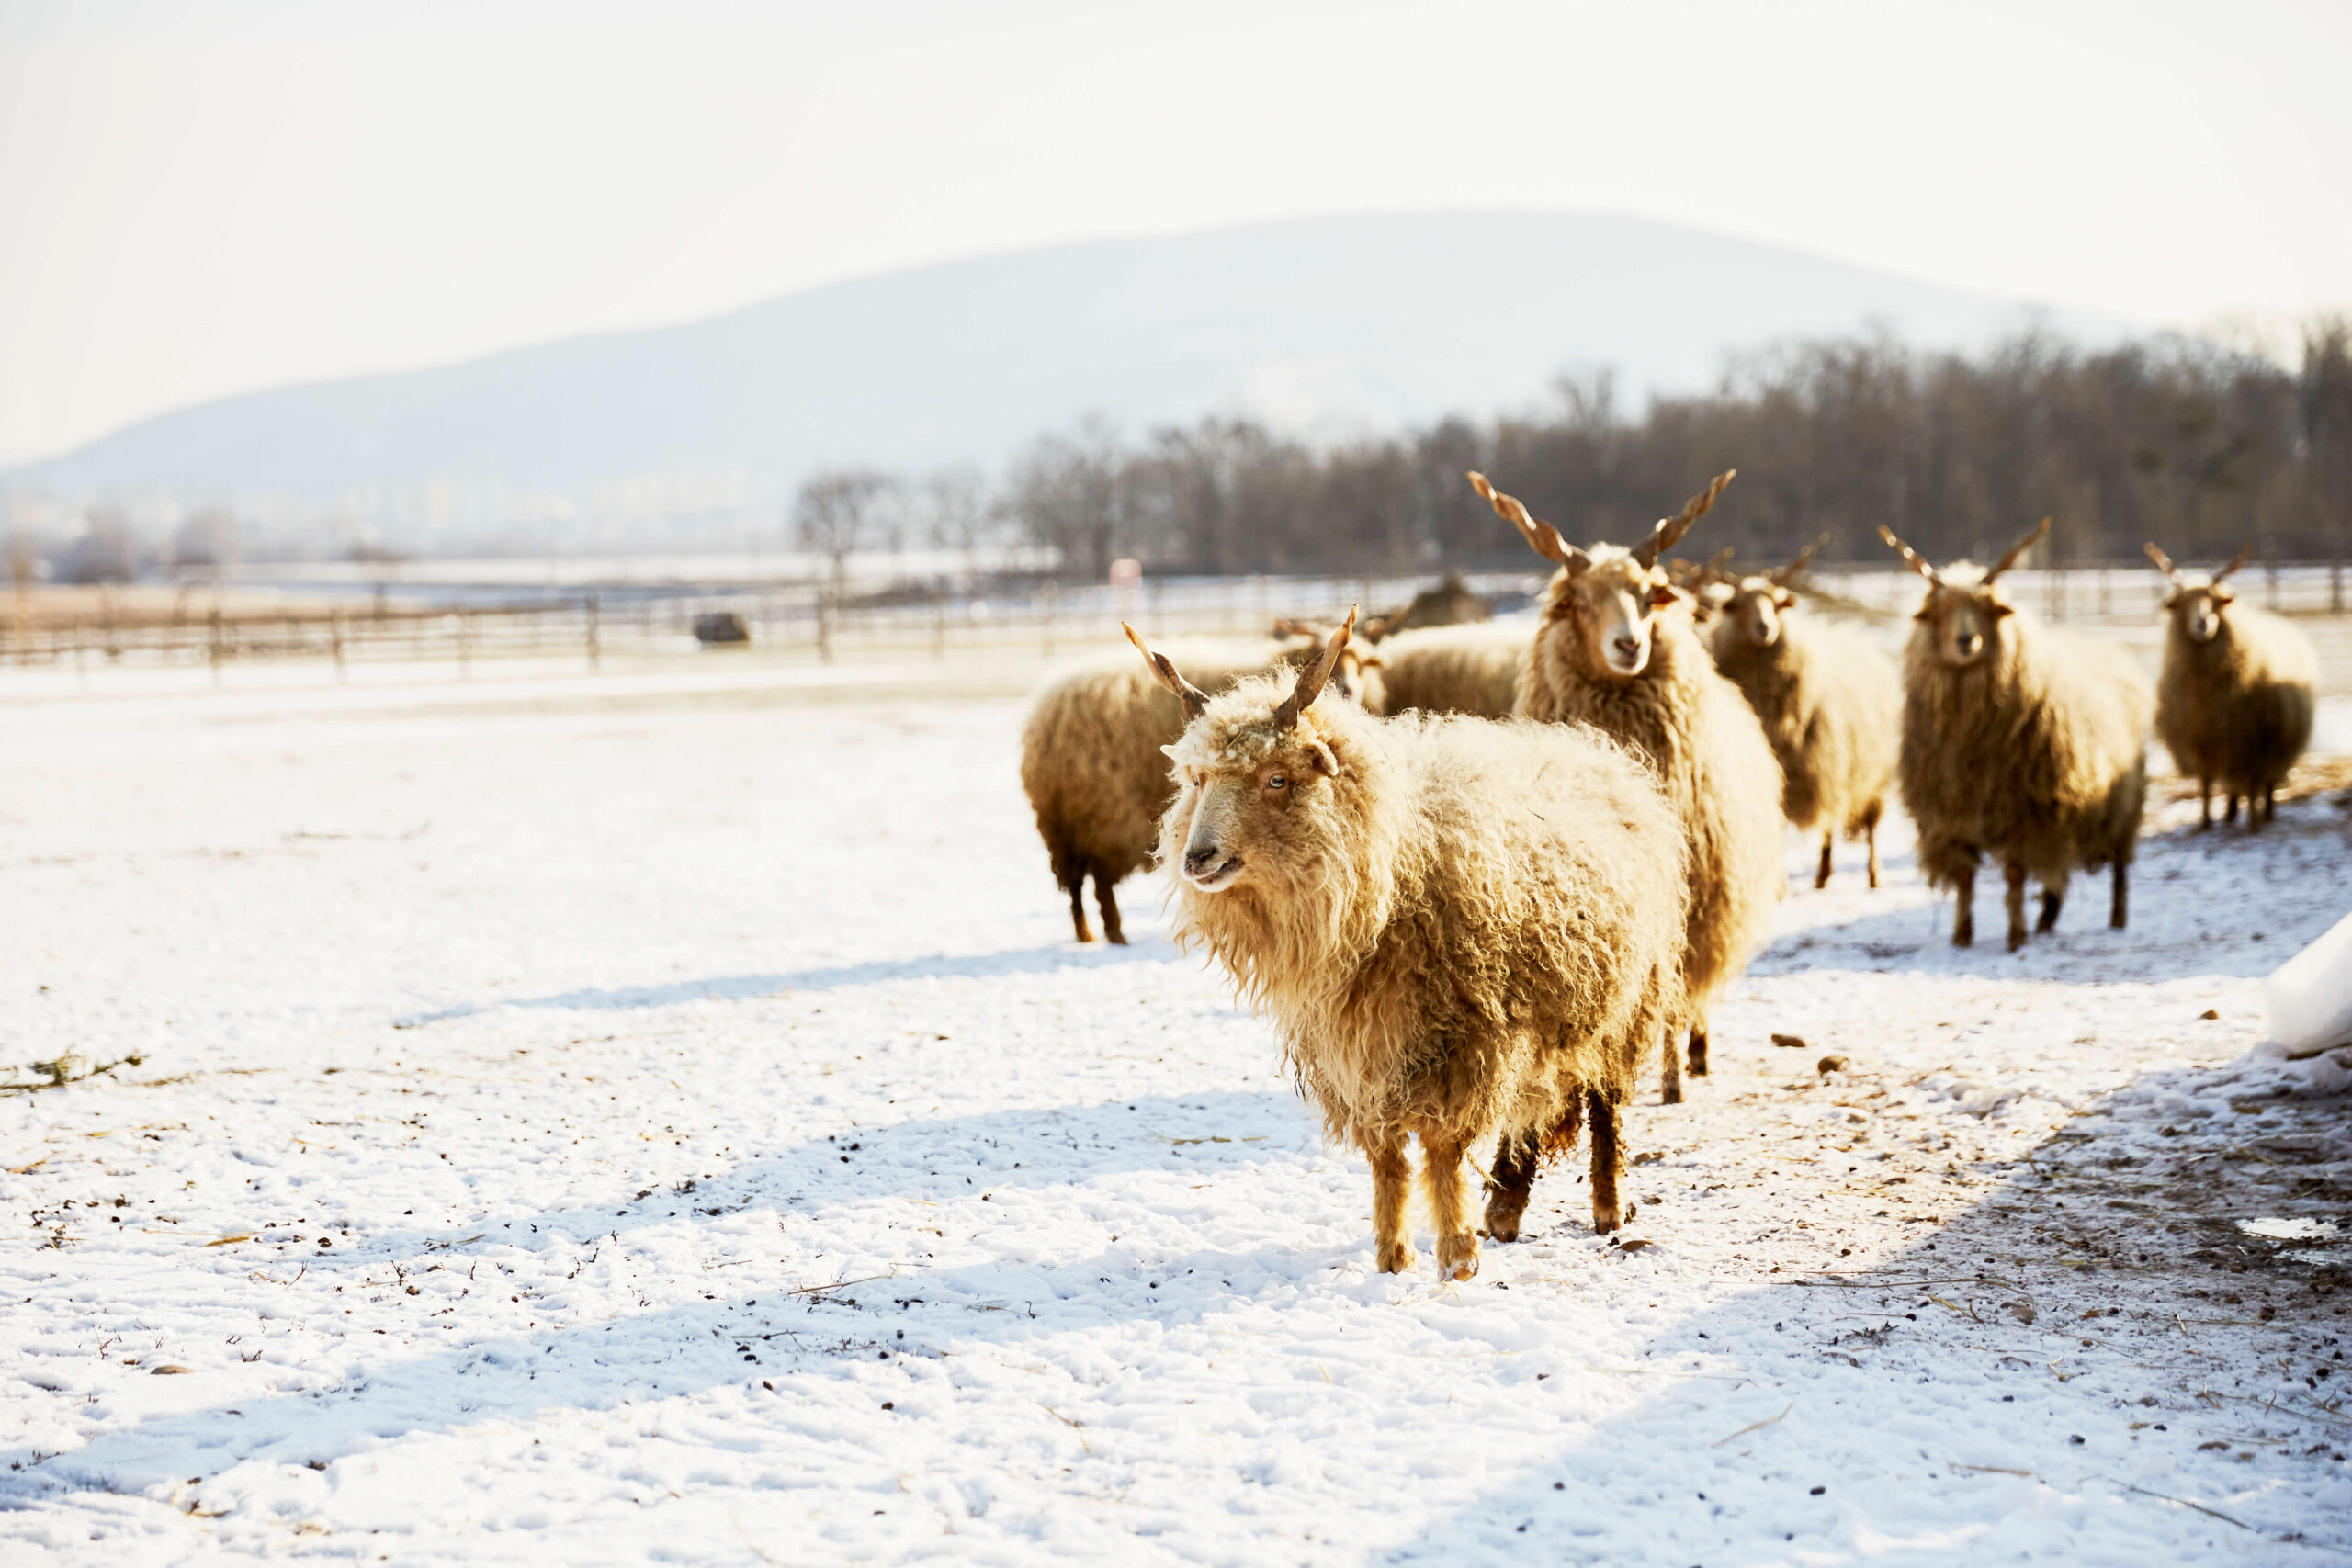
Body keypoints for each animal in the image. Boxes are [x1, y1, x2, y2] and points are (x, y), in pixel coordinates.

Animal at [1124, 611, 1693, 1279]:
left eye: (1277, 778)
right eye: (1198, 778)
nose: (1198, 858)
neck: (1392, 871)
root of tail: (1592, 749)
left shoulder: (1469, 1037)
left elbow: (1444, 1150)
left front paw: (1457, 1257)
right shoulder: (1357, 1048)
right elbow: (1387, 1156)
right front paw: (1393, 1256)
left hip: (1625, 999)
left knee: (1605, 1103)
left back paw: (1606, 1203)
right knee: (1530, 1108)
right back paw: (1506, 1207)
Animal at [1467, 465, 1778, 1104]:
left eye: (1645, 594)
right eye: (1581, 601)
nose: (1629, 644)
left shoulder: (1687, 897)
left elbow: (1674, 992)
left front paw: (1674, 1079)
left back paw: (1693, 1055)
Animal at [1702, 536, 1900, 884]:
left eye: (1775, 603)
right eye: (1737, 604)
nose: (1764, 627)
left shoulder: (1817, 767)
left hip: (1869, 774)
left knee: (1865, 826)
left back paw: (1867, 875)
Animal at [1871, 522, 2154, 949]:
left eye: (1987, 609)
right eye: (1939, 611)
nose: (1965, 640)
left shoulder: (2026, 810)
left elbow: (2016, 875)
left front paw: (2016, 937)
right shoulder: (1953, 813)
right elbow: (1965, 877)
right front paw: (1962, 936)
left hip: (2120, 806)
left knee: (2118, 869)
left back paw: (2116, 918)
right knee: (2058, 875)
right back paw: (2047, 921)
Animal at [2154, 543, 2314, 831]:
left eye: (2215, 601)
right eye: (2184, 604)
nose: (2202, 624)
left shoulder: (2252, 741)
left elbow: (2252, 786)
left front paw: (2253, 823)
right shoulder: (2202, 741)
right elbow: (2206, 786)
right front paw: (2205, 822)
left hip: (2275, 747)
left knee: (2266, 784)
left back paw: (2265, 813)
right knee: (2232, 786)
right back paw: (2229, 814)